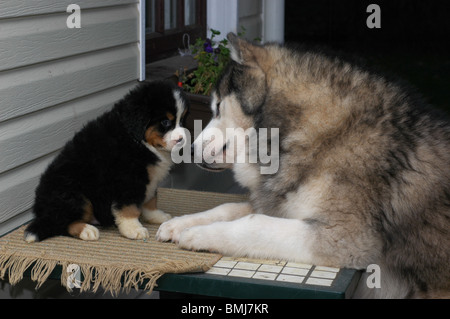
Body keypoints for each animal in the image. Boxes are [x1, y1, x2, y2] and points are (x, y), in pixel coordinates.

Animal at [25, 82, 189, 242]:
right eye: (166, 122)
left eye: (182, 120)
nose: (182, 140)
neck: (137, 140)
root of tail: (40, 210)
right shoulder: (128, 179)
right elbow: (129, 207)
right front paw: (133, 229)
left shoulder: (150, 179)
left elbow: (150, 200)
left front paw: (156, 216)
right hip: (74, 195)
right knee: (60, 224)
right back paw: (87, 230)